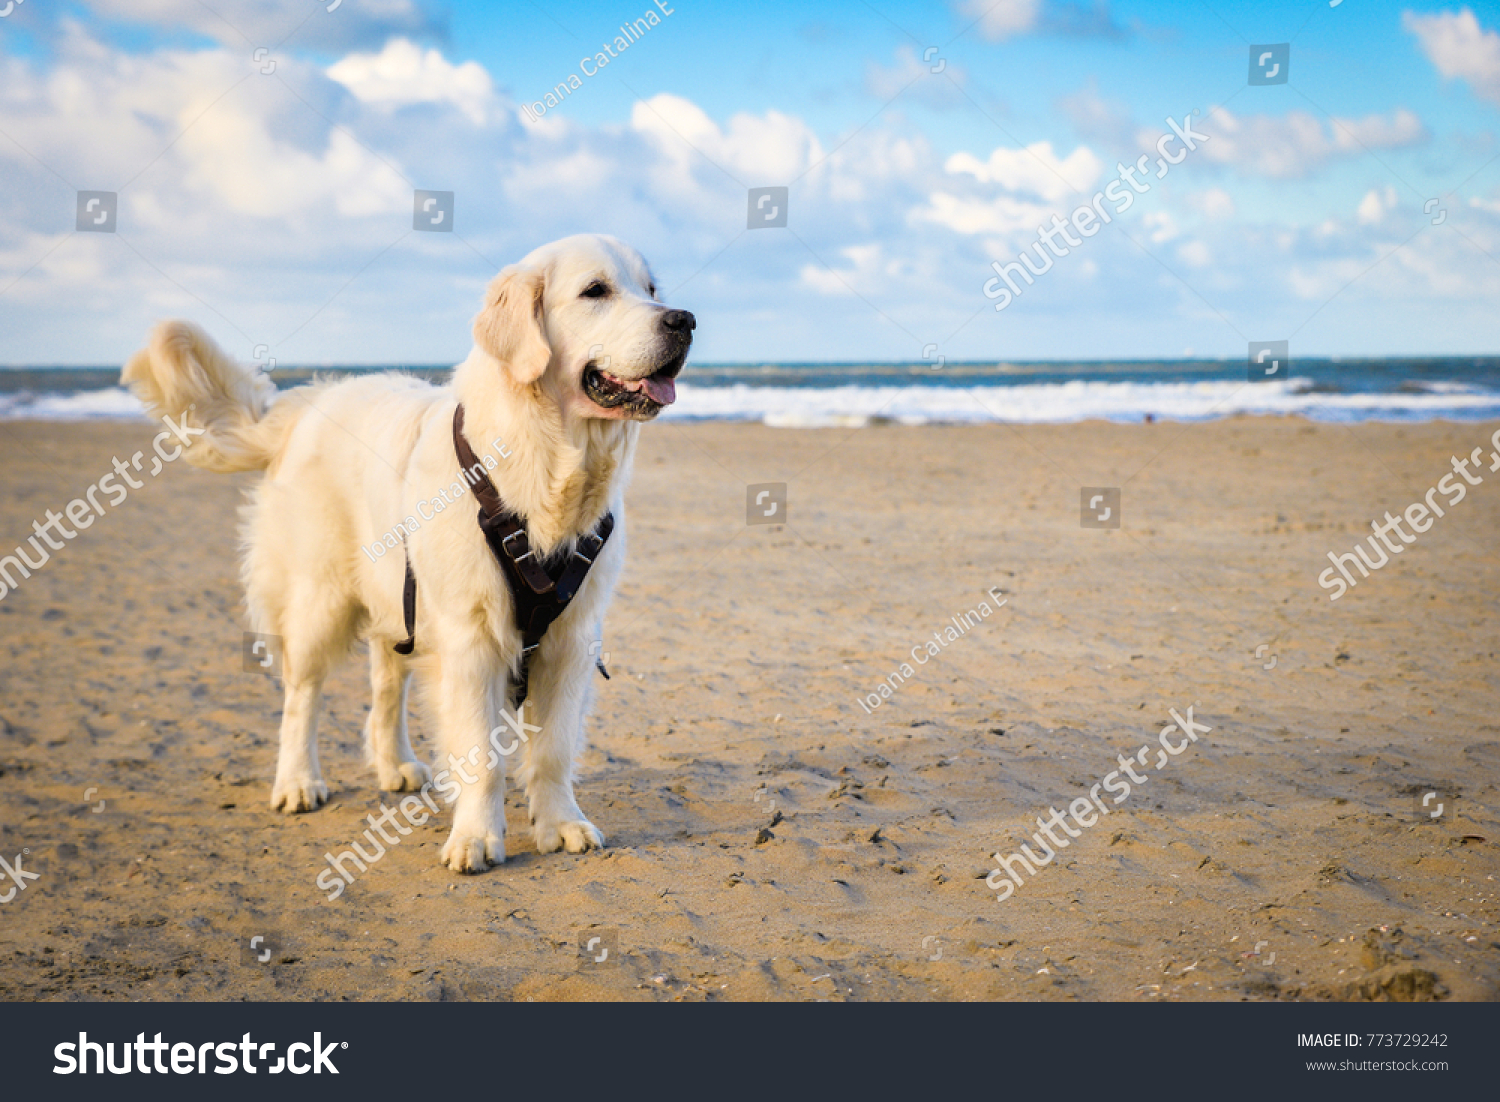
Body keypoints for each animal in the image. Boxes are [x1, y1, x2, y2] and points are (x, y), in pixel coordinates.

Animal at [123, 236, 696, 875]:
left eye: (652, 289)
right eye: (595, 291)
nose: (684, 320)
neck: (547, 462)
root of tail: (313, 400)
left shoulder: (571, 638)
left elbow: (552, 748)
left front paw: (560, 824)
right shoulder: (471, 636)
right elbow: (480, 754)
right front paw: (476, 836)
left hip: (400, 598)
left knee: (385, 685)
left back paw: (393, 763)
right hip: (322, 599)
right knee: (302, 697)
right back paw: (297, 781)